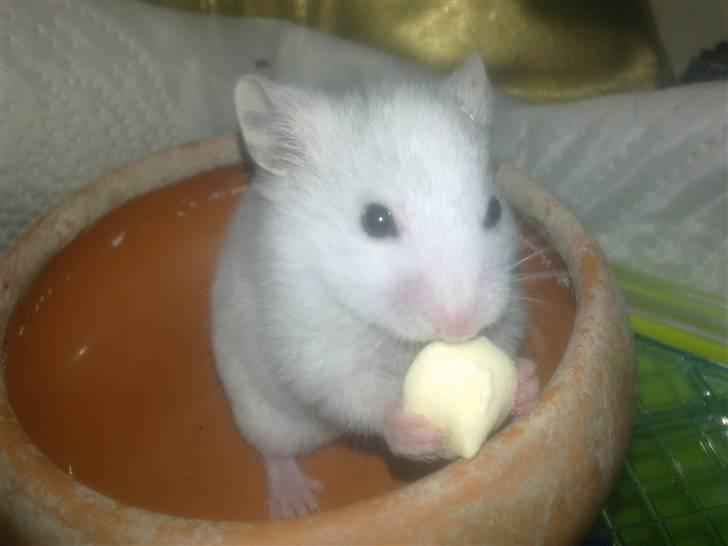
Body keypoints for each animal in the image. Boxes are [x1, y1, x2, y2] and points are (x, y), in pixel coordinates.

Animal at [211, 53, 540, 519]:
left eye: (494, 210)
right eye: (375, 220)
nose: (460, 327)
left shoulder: (509, 306)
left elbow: (508, 341)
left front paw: (525, 381)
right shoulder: (310, 345)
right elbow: (356, 392)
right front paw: (411, 430)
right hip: (261, 412)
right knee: (275, 453)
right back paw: (297, 504)